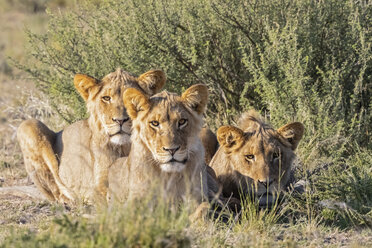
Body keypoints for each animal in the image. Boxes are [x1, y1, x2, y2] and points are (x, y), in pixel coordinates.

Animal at [17, 68, 166, 203]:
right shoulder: (99, 184)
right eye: (106, 98)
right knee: (56, 190)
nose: (120, 120)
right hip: (29, 125)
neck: (125, 147)